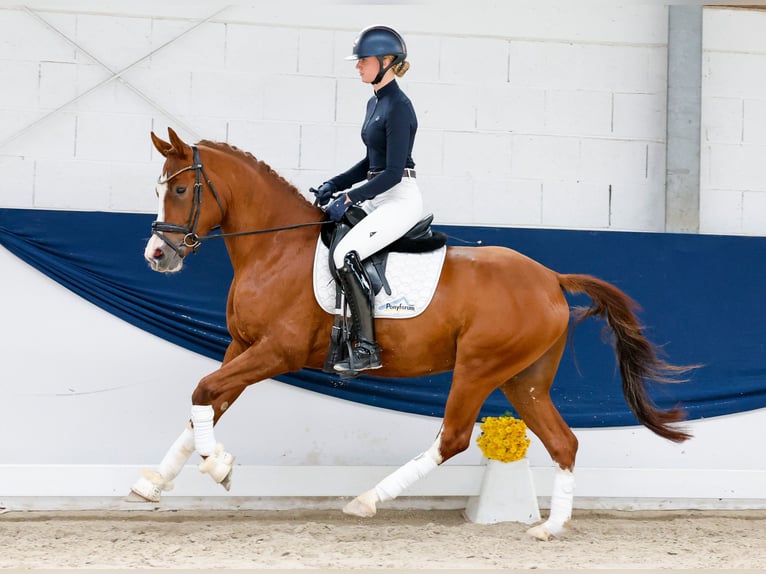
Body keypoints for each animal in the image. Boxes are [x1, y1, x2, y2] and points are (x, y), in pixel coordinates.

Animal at [128, 127, 693, 540]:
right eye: (159, 188)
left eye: (180, 189)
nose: (156, 256)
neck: (275, 249)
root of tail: (551, 278)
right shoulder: (242, 347)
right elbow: (207, 401)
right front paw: (154, 482)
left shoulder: (276, 352)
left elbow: (204, 390)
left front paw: (217, 466)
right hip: (524, 379)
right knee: (563, 441)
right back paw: (549, 528)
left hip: (479, 367)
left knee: (454, 437)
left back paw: (367, 501)